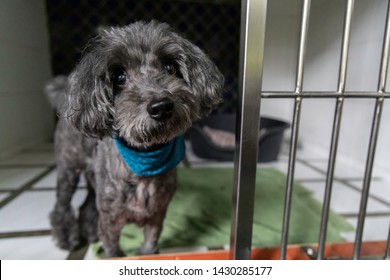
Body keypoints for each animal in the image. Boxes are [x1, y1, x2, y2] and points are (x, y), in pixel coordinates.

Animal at [45, 21, 222, 258]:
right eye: (119, 77)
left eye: (169, 66)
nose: (161, 107)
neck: (145, 158)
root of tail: (65, 99)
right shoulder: (110, 223)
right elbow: (111, 250)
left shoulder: (156, 217)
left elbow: (149, 248)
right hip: (68, 167)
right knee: (62, 205)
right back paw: (67, 237)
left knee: (88, 205)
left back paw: (90, 232)